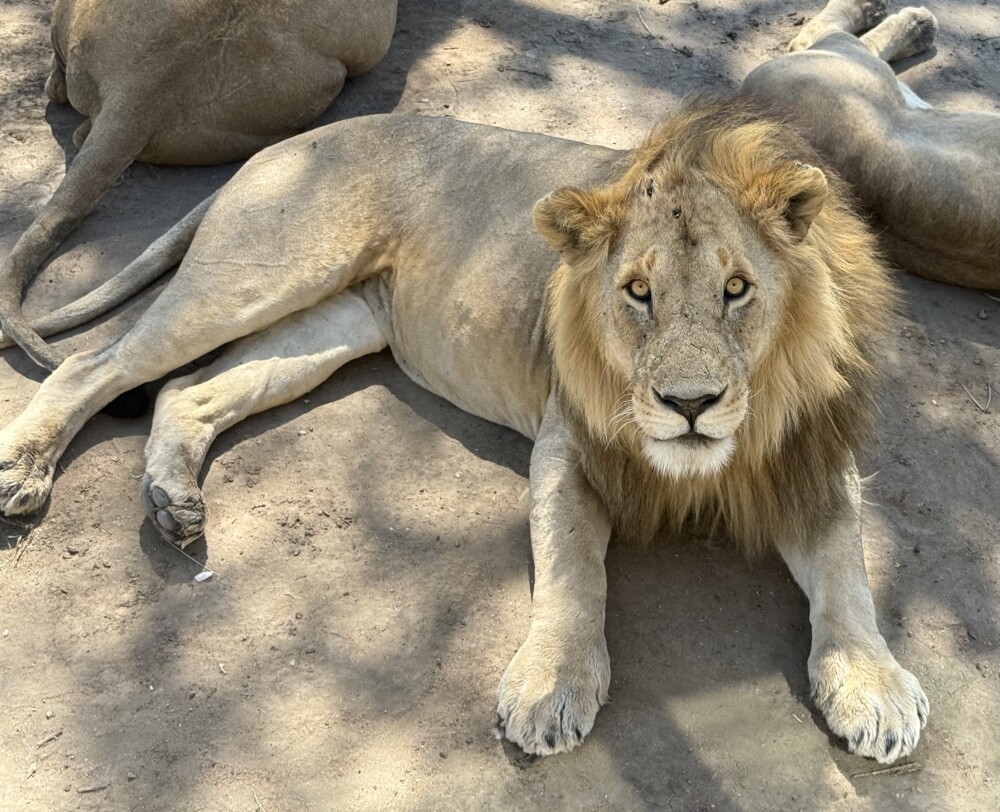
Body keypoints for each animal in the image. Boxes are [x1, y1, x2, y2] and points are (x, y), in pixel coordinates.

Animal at [0, 90, 929, 763]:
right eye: (637, 292)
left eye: (738, 290)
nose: (690, 405)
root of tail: (279, 147)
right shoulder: (568, 446)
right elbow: (573, 573)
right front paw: (552, 685)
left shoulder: (813, 459)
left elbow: (847, 570)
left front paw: (874, 684)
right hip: (256, 277)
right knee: (96, 366)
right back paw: (24, 469)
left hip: (335, 323)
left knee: (185, 391)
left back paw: (172, 500)